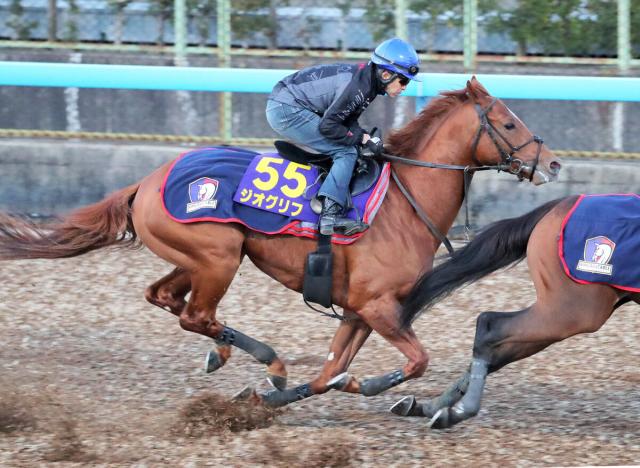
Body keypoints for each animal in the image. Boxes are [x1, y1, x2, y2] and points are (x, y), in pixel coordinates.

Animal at [0, 77, 561, 409]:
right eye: (508, 122)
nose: (553, 163)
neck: (403, 201)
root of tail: (148, 179)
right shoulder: (377, 306)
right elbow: (414, 361)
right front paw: (370, 387)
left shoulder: (360, 310)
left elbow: (330, 371)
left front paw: (297, 394)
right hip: (219, 257)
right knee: (195, 314)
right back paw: (266, 360)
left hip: (199, 257)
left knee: (164, 297)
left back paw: (227, 356)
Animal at [393, 194, 640, 429]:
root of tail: (561, 204)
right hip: (573, 312)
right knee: (489, 326)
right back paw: (459, 410)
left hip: (562, 312)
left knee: (497, 350)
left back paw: (433, 407)